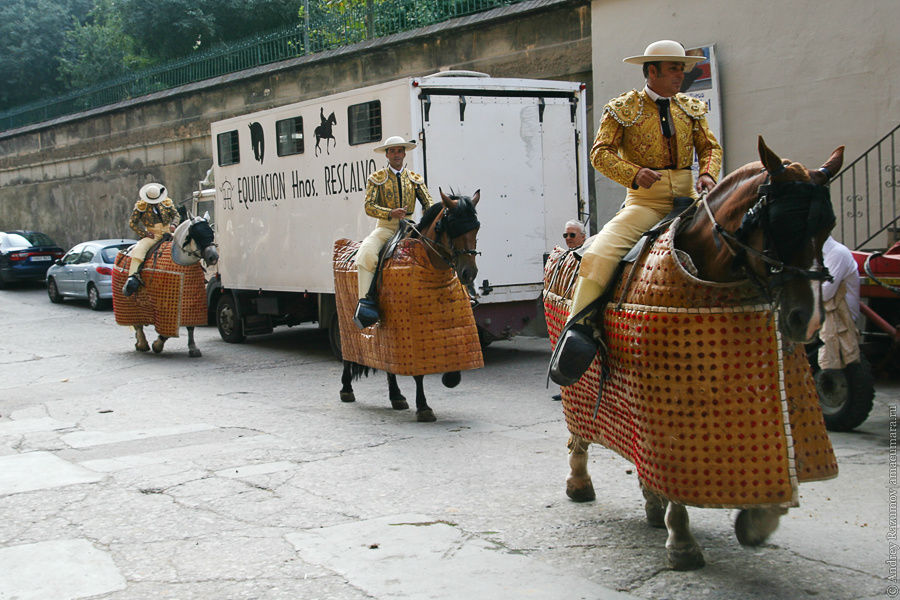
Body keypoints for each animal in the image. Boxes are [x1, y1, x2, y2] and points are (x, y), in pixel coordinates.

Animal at [113, 213, 219, 356]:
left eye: (211, 233)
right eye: (197, 234)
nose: (214, 257)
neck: (181, 261)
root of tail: (127, 250)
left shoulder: (190, 300)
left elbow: (190, 326)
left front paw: (193, 348)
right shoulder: (164, 304)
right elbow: (167, 328)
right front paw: (157, 345)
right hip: (129, 302)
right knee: (137, 323)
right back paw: (142, 343)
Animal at [332, 189, 486, 422]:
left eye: (476, 226)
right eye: (452, 224)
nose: (469, 273)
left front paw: (450, 378)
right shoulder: (410, 331)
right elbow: (418, 373)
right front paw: (423, 407)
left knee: (388, 362)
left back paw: (396, 396)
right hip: (347, 319)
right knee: (348, 355)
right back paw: (346, 389)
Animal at [544, 137, 848, 572]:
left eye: (827, 228)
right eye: (778, 227)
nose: (805, 321)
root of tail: (562, 251)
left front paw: (758, 520)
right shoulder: (665, 406)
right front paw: (683, 542)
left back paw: (651, 504)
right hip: (576, 381)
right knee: (578, 430)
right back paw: (580, 483)